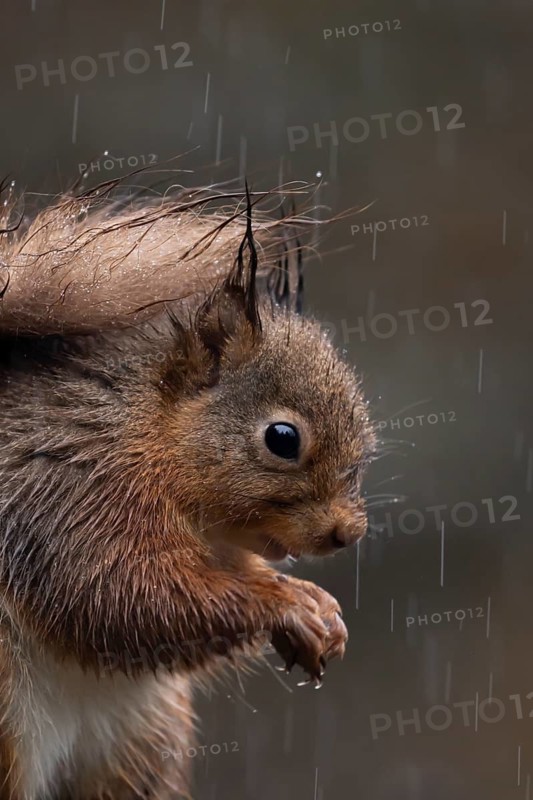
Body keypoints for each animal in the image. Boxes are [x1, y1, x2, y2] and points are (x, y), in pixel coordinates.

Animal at [0, 177, 375, 800]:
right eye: (282, 438)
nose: (348, 533)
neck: (148, 427)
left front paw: (316, 607)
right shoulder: (70, 491)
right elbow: (129, 593)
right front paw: (288, 604)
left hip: (142, 745)